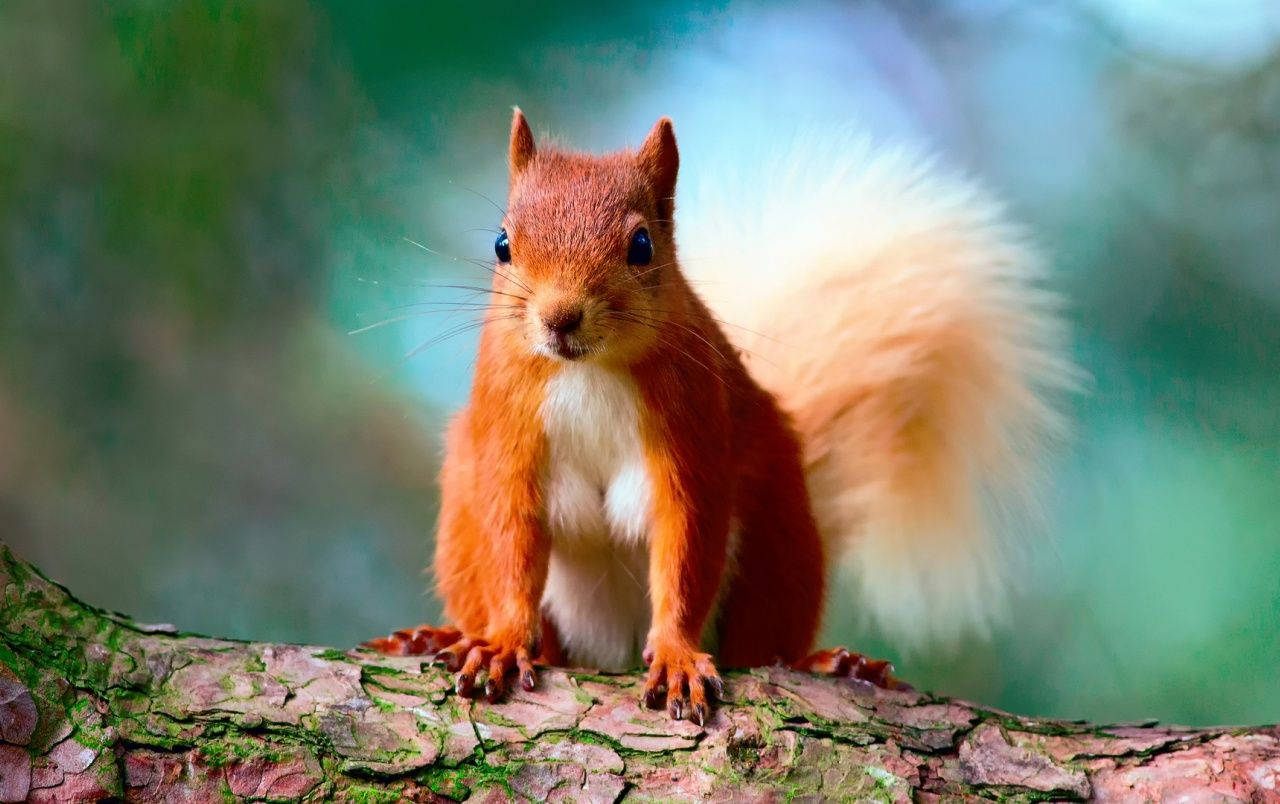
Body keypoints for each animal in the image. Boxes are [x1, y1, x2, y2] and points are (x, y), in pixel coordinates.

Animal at [366, 106, 1075, 722]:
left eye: (643, 245)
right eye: (502, 243)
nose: (560, 318)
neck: (587, 369)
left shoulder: (693, 432)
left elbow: (686, 545)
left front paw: (677, 655)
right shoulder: (508, 430)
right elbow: (512, 540)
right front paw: (505, 643)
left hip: (778, 534)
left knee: (761, 645)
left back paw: (830, 664)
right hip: (462, 506)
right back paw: (436, 637)